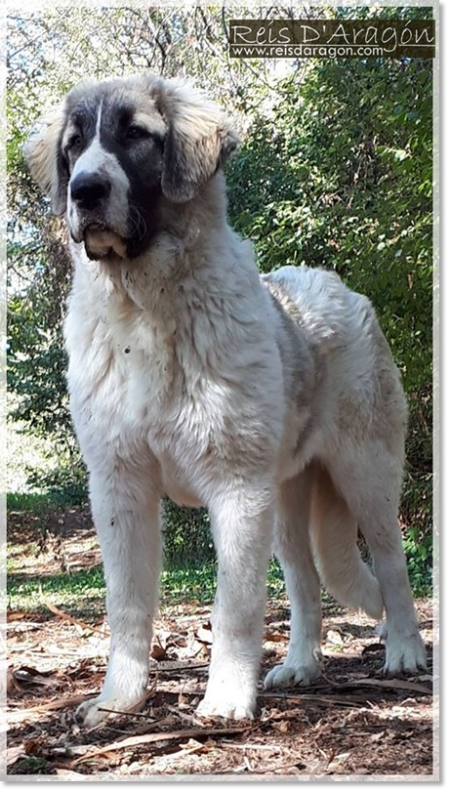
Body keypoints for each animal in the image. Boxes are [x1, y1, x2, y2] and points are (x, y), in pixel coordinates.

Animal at [26, 72, 428, 724]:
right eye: (75, 144)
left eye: (134, 135)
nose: (84, 191)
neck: (145, 310)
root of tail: (335, 285)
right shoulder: (120, 485)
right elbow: (127, 603)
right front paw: (119, 700)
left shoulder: (236, 487)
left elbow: (234, 606)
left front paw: (225, 699)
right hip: (285, 499)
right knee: (305, 582)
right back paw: (301, 666)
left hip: (363, 473)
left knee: (392, 565)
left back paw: (405, 652)